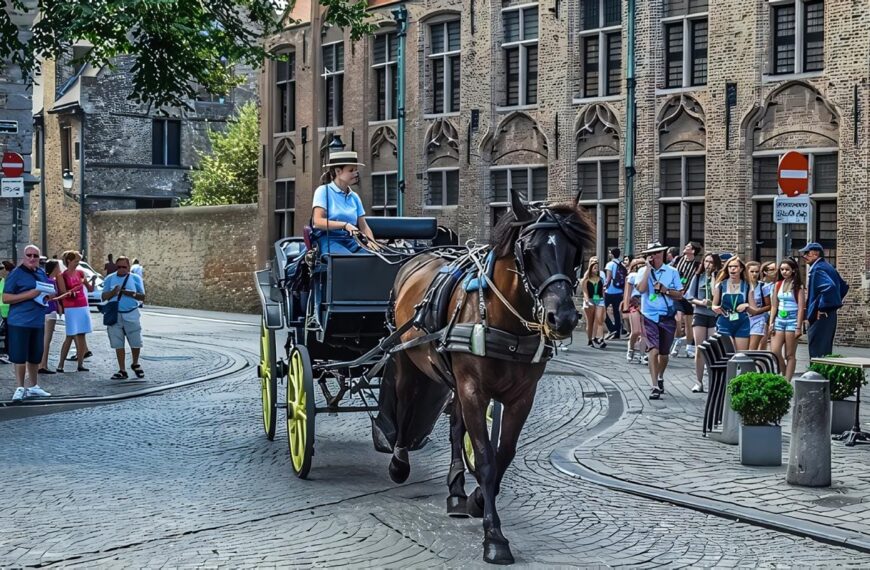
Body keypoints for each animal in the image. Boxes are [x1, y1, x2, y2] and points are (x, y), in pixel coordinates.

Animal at [378, 189, 596, 560]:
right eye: (529, 251)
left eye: (573, 251)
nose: (564, 317)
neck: (502, 319)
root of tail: (415, 258)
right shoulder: (473, 390)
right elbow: (484, 459)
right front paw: (494, 537)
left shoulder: (522, 396)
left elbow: (502, 455)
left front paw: (478, 500)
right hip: (408, 360)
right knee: (406, 407)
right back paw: (398, 463)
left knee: (454, 427)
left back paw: (455, 492)